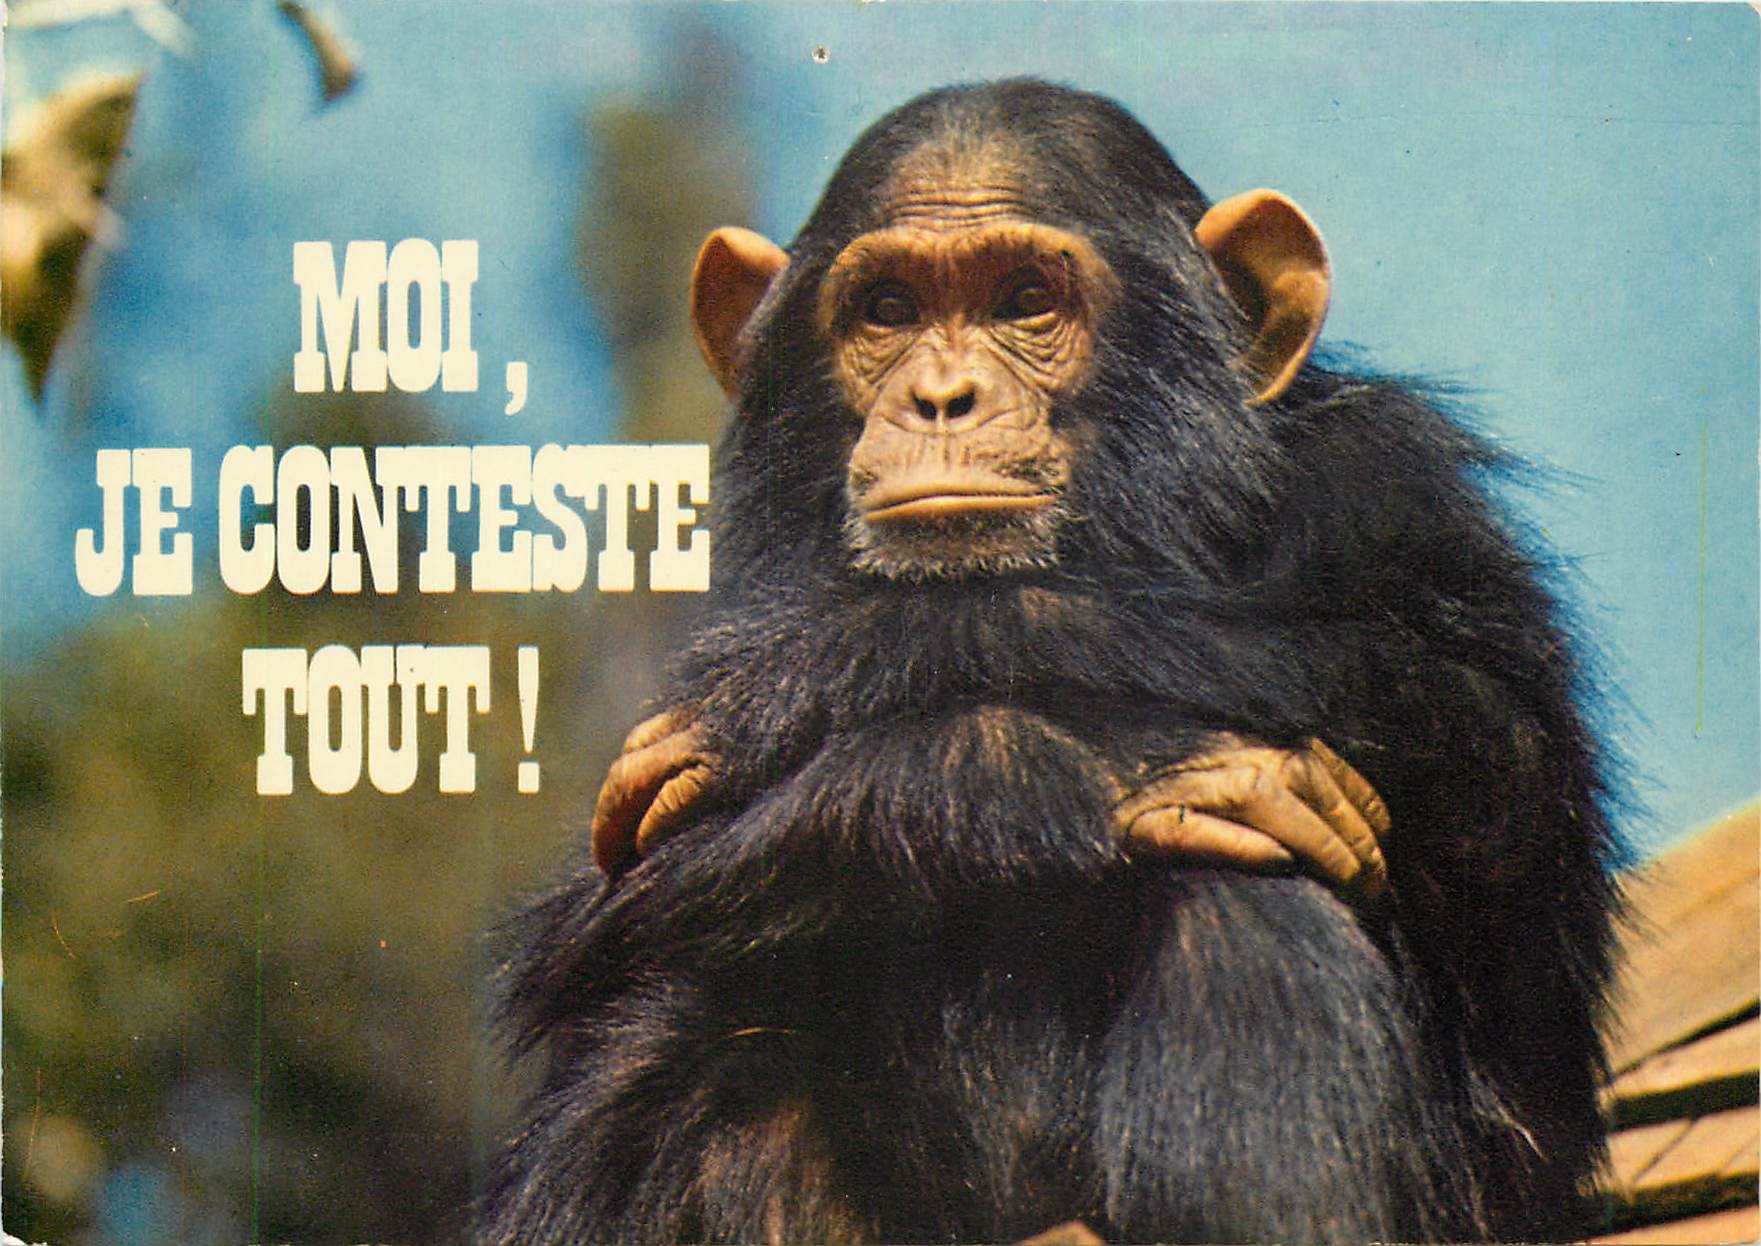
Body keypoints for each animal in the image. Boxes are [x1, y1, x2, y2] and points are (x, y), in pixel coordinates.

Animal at [484, 79, 1620, 1244]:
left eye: (1026, 299)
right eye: (886, 310)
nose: (942, 396)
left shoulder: (1400, 480)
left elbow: (1490, 751)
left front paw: (828, 667)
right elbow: (606, 914)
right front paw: (1051, 767)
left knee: (1246, 898)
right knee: (666, 1026)